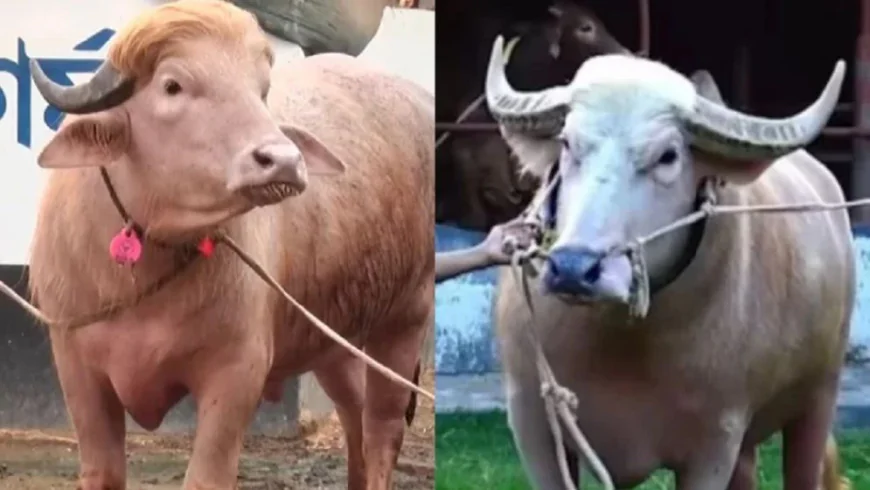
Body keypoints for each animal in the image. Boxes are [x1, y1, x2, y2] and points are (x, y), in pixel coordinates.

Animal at [26, 1, 433, 489]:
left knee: (382, 427)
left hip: (407, 315)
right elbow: (101, 472)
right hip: (333, 337)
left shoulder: (237, 372)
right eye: (172, 85)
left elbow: (207, 476)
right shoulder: (76, 367)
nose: (284, 161)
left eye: (261, 89)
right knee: (353, 412)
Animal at [485, 34, 852, 490]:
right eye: (568, 144)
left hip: (819, 397)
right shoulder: (532, 425)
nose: (573, 268)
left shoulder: (715, 440)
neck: (616, 344)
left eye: (667, 156)